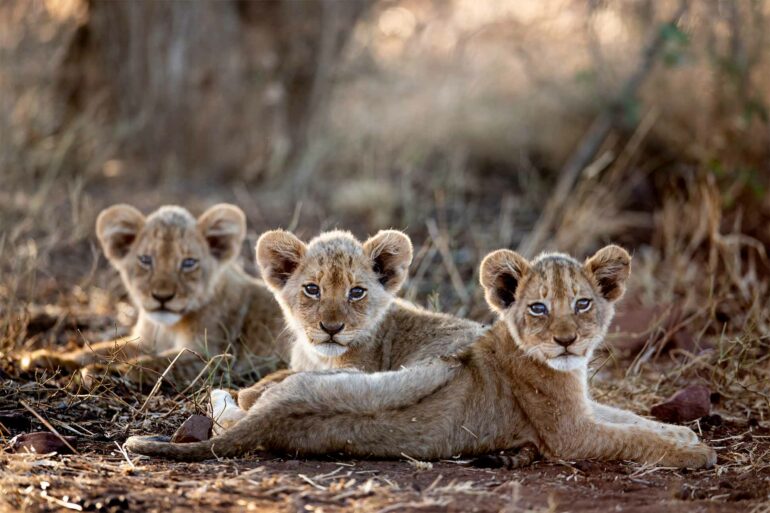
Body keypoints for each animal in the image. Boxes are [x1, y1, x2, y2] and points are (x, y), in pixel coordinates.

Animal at [21, 204, 287, 386]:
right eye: (146, 260)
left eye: (188, 263)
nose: (162, 297)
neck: (166, 327)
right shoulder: (145, 342)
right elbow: (98, 349)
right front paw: (44, 358)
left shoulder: (214, 356)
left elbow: (156, 364)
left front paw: (107, 372)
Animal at [126, 244, 715, 469]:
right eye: (539, 307)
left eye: (584, 303)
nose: (567, 340)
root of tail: (278, 419)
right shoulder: (569, 435)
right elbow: (630, 437)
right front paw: (696, 452)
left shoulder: (586, 408)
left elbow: (631, 418)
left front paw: (683, 434)